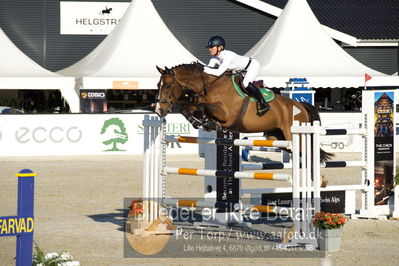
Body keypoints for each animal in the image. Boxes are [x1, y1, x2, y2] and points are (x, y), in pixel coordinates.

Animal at [155, 62, 332, 162]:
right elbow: (189, 109)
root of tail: (300, 105)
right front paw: (201, 122)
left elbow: (202, 107)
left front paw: (208, 123)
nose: (158, 110)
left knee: (309, 154)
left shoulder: (225, 114)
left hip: (296, 136)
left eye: (168, 86)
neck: (209, 85)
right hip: (278, 138)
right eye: (158, 85)